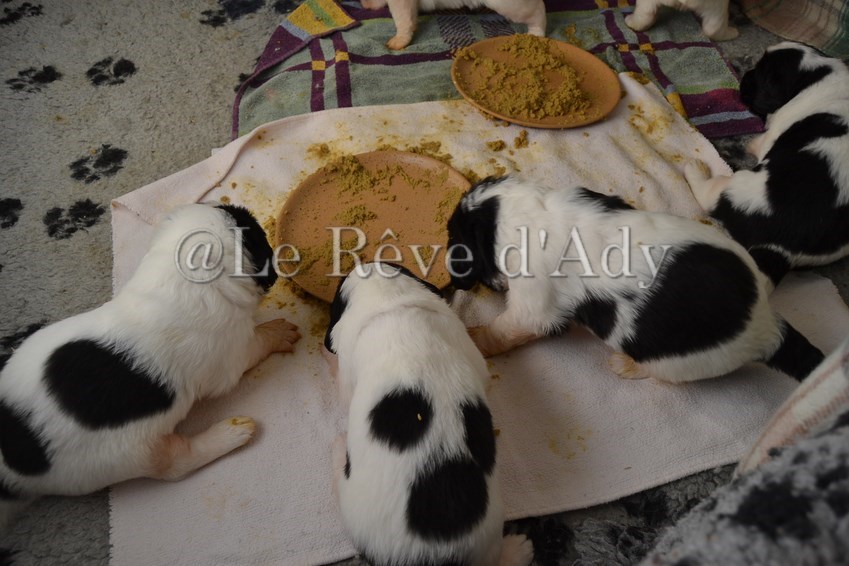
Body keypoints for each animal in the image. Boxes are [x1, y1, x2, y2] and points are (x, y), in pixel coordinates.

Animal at [0, 203, 300, 529]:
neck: (184, 276)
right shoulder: (232, 357)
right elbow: (257, 342)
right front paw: (277, 332)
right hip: (129, 454)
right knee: (177, 463)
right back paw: (231, 433)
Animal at [360, 0, 546, 50]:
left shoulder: (401, 3)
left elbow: (402, 18)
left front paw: (399, 40)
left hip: (511, 6)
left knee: (539, 11)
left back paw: (535, 34)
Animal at [446, 176, 824, 383]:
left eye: (454, 236)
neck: (523, 214)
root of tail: (766, 325)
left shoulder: (532, 306)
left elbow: (503, 329)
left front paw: (475, 339)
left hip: (676, 361)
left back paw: (625, 365)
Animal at [684, 42, 849, 287]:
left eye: (761, 73)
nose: (745, 76)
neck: (817, 74)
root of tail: (782, 248)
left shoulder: (771, 135)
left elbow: (756, 140)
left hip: (739, 186)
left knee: (709, 195)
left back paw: (695, 169)